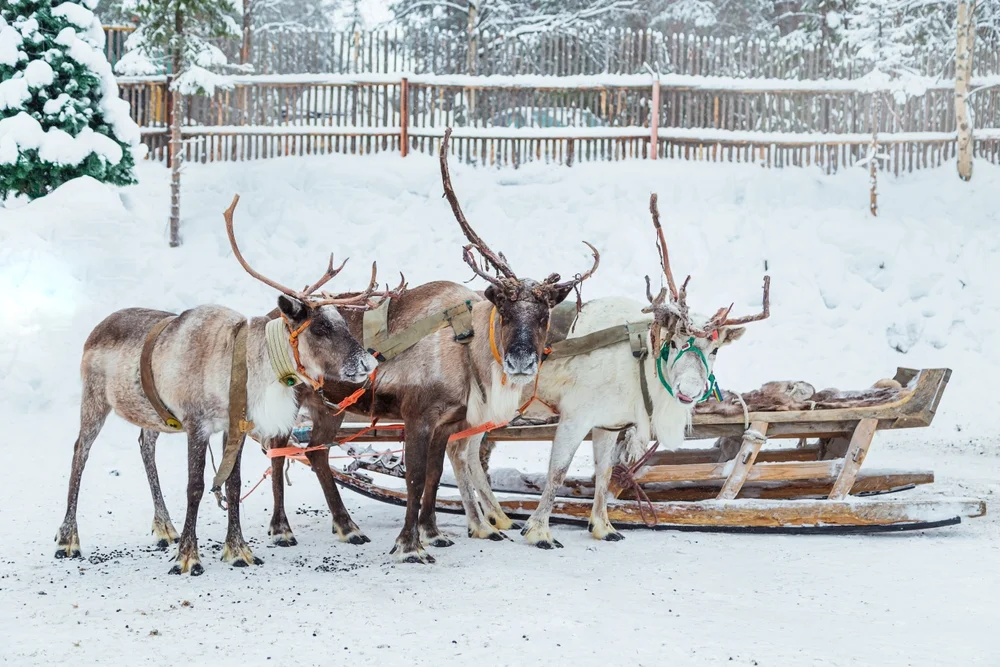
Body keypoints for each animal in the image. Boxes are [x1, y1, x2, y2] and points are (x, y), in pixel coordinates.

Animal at [53, 195, 395, 575]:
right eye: (320, 327)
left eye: (343, 322)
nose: (368, 363)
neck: (246, 367)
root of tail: (96, 328)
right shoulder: (196, 423)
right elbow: (196, 485)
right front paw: (189, 557)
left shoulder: (235, 427)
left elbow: (232, 484)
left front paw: (238, 550)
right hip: (94, 400)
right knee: (79, 452)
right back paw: (68, 539)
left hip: (153, 415)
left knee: (144, 446)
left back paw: (165, 528)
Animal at [263, 128, 600, 563]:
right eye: (505, 310)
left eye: (544, 315)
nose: (522, 361)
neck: (468, 349)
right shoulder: (417, 415)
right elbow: (416, 477)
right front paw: (409, 544)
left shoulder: (448, 422)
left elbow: (436, 476)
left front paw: (434, 533)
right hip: (290, 400)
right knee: (277, 447)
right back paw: (281, 529)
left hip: (330, 407)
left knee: (315, 451)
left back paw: (347, 527)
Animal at [451, 193, 771, 548]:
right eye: (673, 343)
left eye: (714, 350)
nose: (688, 392)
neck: (640, 365)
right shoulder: (575, 417)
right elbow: (557, 471)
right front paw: (539, 532)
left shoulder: (607, 424)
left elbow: (604, 473)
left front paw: (603, 526)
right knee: (459, 452)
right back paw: (482, 524)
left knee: (472, 454)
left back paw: (497, 517)